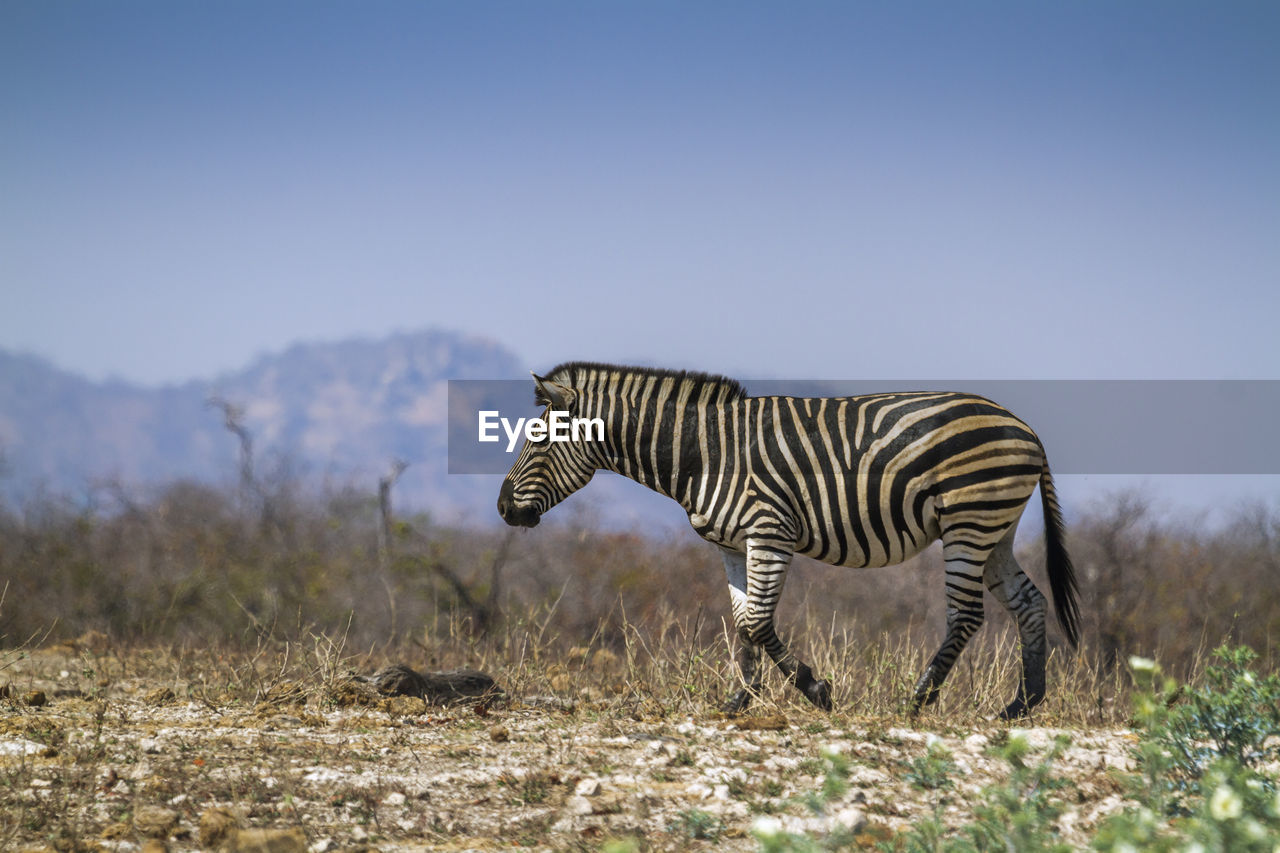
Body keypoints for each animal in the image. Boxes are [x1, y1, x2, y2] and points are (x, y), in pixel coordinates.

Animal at [494, 361, 1075, 717]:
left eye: (539, 440)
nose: (502, 509)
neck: (701, 453)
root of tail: (1025, 428)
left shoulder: (769, 531)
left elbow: (756, 621)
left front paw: (815, 690)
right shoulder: (731, 544)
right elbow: (742, 622)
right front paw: (738, 702)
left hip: (967, 520)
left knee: (967, 613)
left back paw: (918, 700)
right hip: (994, 530)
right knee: (1028, 601)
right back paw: (1021, 705)